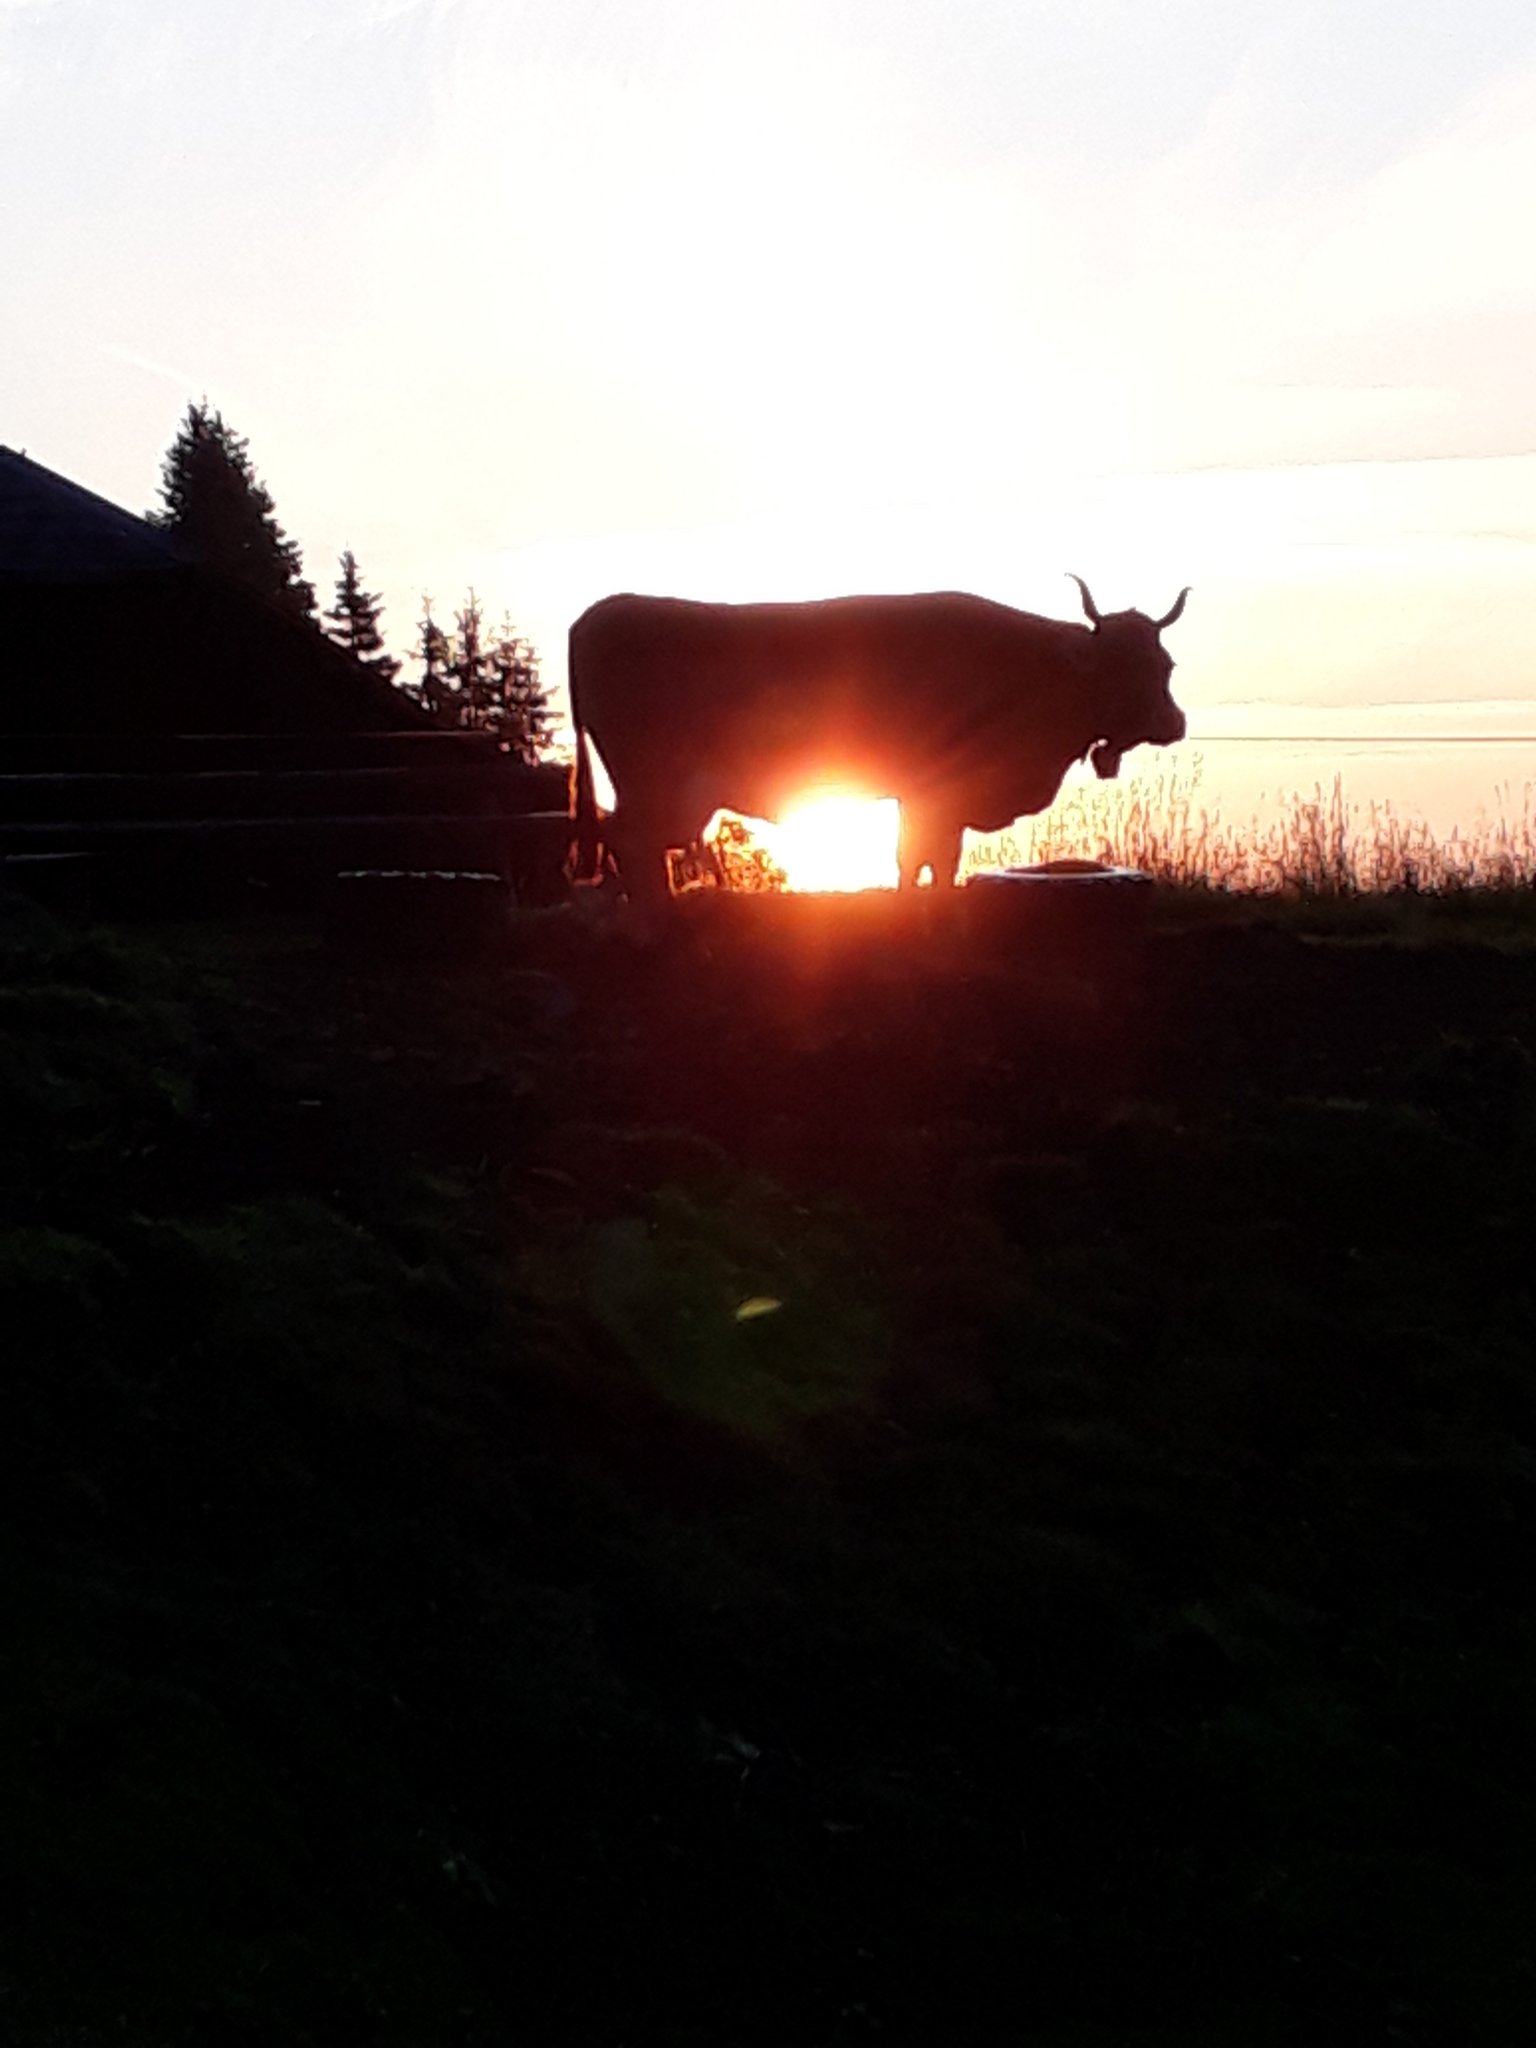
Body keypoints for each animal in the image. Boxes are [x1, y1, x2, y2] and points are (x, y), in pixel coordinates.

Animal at [568, 575, 1189, 900]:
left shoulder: (927, 797)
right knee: (630, 840)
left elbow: (926, 855)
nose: (1175, 723)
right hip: (664, 786)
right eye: (1121, 668)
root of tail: (595, 615)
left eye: (1164, 664)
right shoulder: (939, 792)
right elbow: (926, 854)